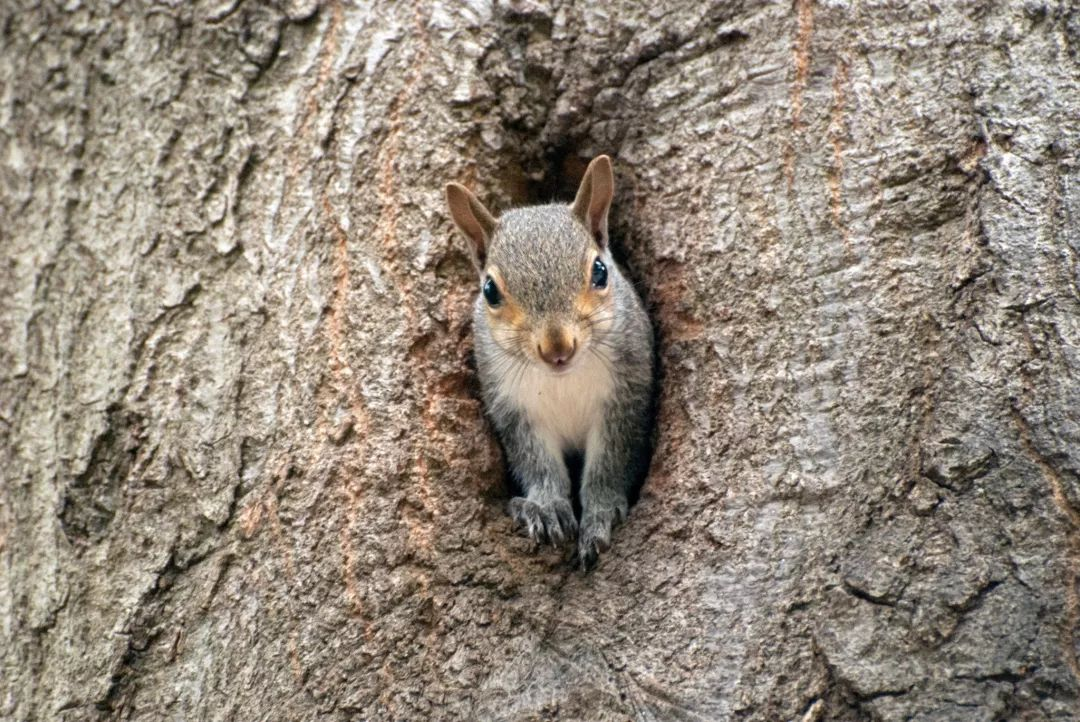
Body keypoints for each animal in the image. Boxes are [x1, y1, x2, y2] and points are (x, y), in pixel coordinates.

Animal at [442, 157, 652, 569]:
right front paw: (546, 507)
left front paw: (600, 514)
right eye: (489, 291)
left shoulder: (627, 398)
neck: (560, 380)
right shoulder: (514, 411)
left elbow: (610, 464)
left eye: (600, 271)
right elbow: (537, 463)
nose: (558, 348)